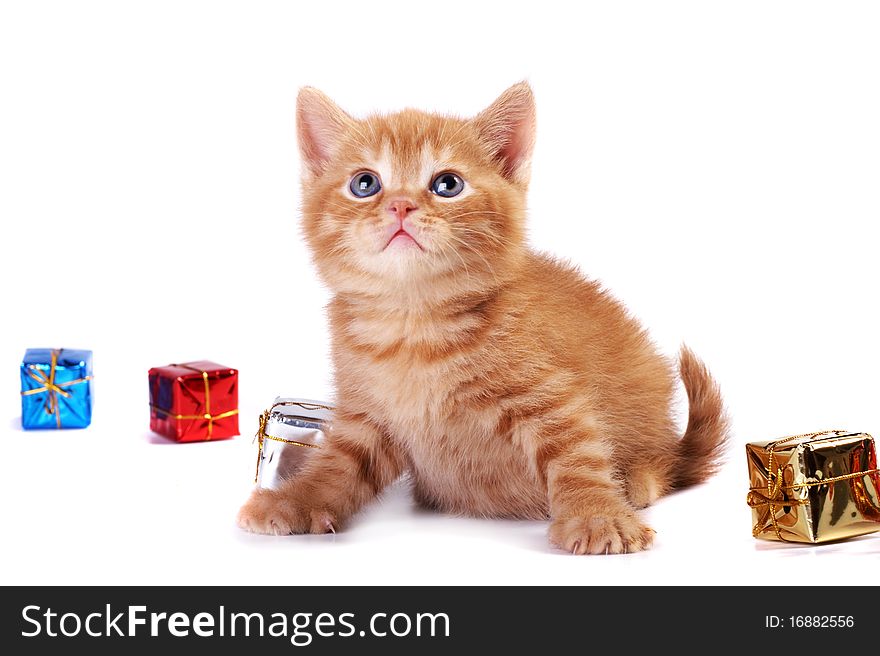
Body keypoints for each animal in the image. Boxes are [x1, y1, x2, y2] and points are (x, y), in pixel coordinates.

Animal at [239, 80, 728, 552]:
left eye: (447, 184)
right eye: (365, 184)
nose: (400, 205)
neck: (413, 324)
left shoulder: (549, 396)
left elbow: (577, 456)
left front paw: (596, 516)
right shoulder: (367, 418)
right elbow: (335, 468)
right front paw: (293, 502)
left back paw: (640, 478)